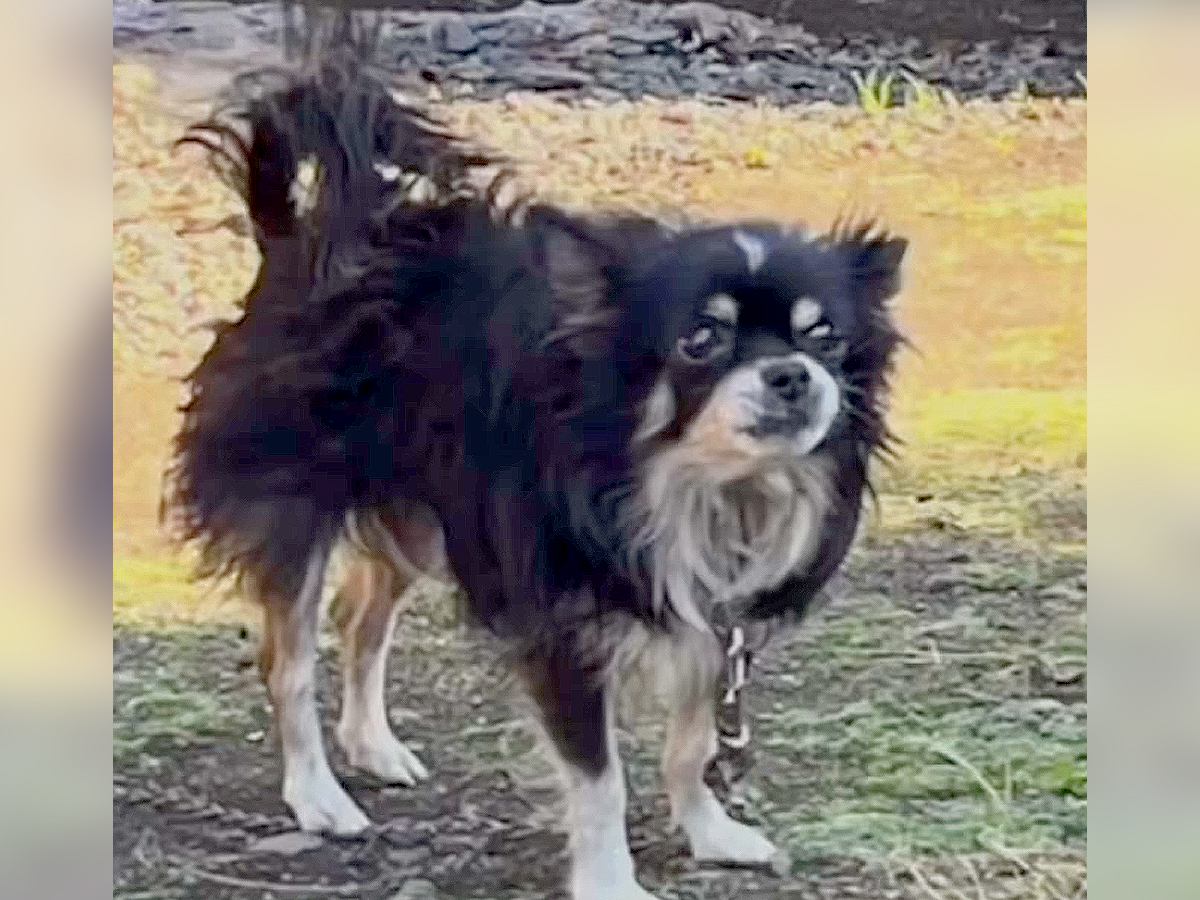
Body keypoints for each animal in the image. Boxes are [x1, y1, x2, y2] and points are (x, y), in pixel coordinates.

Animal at [164, 17, 902, 897]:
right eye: (702, 339)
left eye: (825, 339)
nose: (792, 374)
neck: (699, 490)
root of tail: (293, 241)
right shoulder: (566, 637)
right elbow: (600, 779)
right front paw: (611, 881)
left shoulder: (710, 628)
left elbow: (692, 745)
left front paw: (710, 831)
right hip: (300, 514)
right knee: (290, 659)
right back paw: (318, 795)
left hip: (426, 519)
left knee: (359, 617)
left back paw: (374, 746)